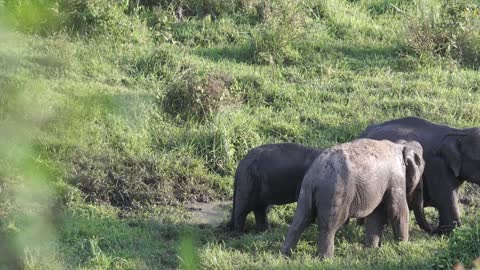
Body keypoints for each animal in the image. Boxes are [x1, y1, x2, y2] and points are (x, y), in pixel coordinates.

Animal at [282, 138, 424, 258]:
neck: (401, 145)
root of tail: (316, 175)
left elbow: (376, 214)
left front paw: (372, 249)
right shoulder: (396, 178)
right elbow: (397, 211)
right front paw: (403, 247)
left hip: (306, 190)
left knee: (300, 219)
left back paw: (285, 255)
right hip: (335, 193)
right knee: (329, 226)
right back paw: (326, 259)